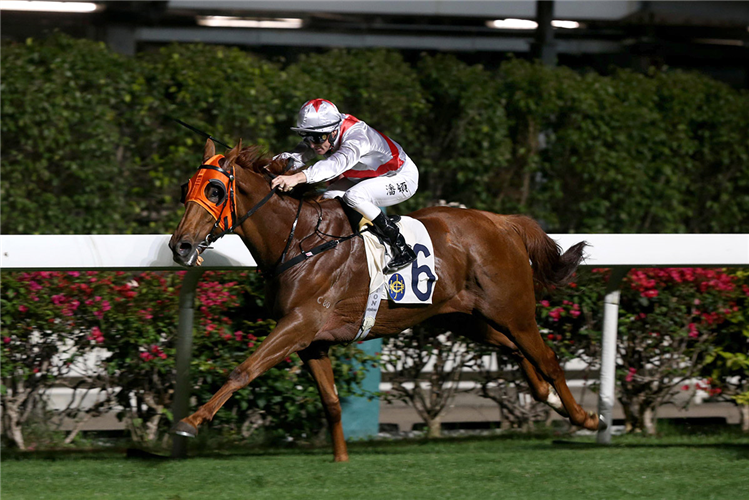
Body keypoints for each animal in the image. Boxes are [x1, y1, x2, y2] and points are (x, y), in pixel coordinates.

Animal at [168, 139, 600, 458]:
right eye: (186, 187)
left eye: (215, 189)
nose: (180, 245)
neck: (299, 240)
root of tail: (502, 222)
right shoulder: (311, 340)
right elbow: (331, 402)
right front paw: (341, 460)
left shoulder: (299, 324)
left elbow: (244, 370)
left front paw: (190, 422)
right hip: (466, 318)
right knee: (514, 350)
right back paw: (548, 397)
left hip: (514, 310)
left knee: (547, 357)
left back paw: (585, 418)